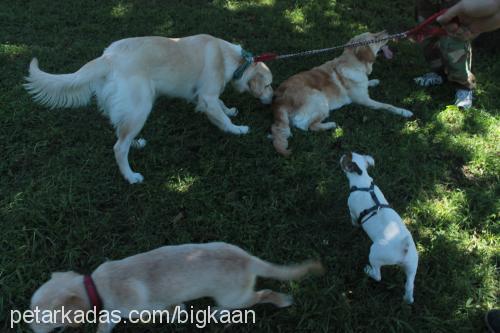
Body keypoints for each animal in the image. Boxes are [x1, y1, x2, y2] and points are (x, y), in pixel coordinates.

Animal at [24, 35, 274, 183]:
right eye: (269, 85)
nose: (273, 99)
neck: (231, 59)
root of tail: (108, 57)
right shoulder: (207, 96)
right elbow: (222, 118)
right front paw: (238, 129)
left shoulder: (205, 96)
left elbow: (221, 107)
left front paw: (230, 110)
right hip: (141, 105)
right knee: (118, 147)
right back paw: (131, 176)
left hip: (132, 109)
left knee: (122, 134)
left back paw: (136, 142)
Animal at [29, 241, 322, 332]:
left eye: (41, 320)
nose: (28, 327)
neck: (96, 286)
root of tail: (248, 259)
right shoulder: (112, 312)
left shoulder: (140, 310)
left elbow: (167, 310)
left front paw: (176, 311)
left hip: (236, 297)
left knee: (262, 294)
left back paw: (280, 301)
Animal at [272, 31, 412, 155]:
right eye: (374, 37)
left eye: (374, 33)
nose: (387, 31)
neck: (354, 63)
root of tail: (280, 100)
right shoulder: (365, 100)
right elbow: (388, 106)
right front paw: (404, 111)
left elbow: (367, 83)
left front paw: (373, 81)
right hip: (319, 98)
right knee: (307, 126)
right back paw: (330, 125)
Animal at [340, 152, 418, 302]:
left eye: (345, 158)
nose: (340, 155)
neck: (363, 183)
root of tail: (403, 248)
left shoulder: (352, 211)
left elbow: (353, 220)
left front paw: (354, 226)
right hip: (412, 266)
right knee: (410, 286)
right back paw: (407, 299)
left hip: (374, 255)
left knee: (378, 276)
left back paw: (368, 271)